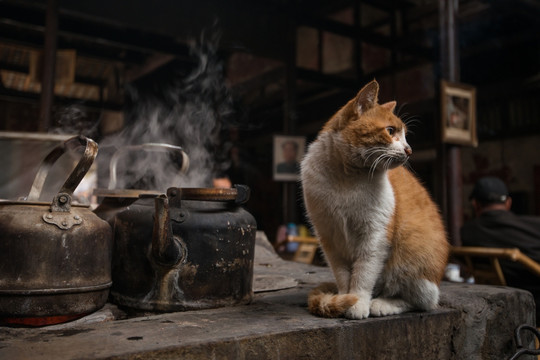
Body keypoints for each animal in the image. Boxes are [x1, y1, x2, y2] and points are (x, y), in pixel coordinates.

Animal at [302, 80, 450, 320]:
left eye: (406, 135)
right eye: (390, 131)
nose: (409, 150)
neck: (347, 179)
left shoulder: (375, 235)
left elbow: (363, 274)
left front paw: (358, 302)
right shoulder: (329, 237)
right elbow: (343, 275)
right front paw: (343, 299)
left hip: (414, 258)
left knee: (422, 301)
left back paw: (381, 304)